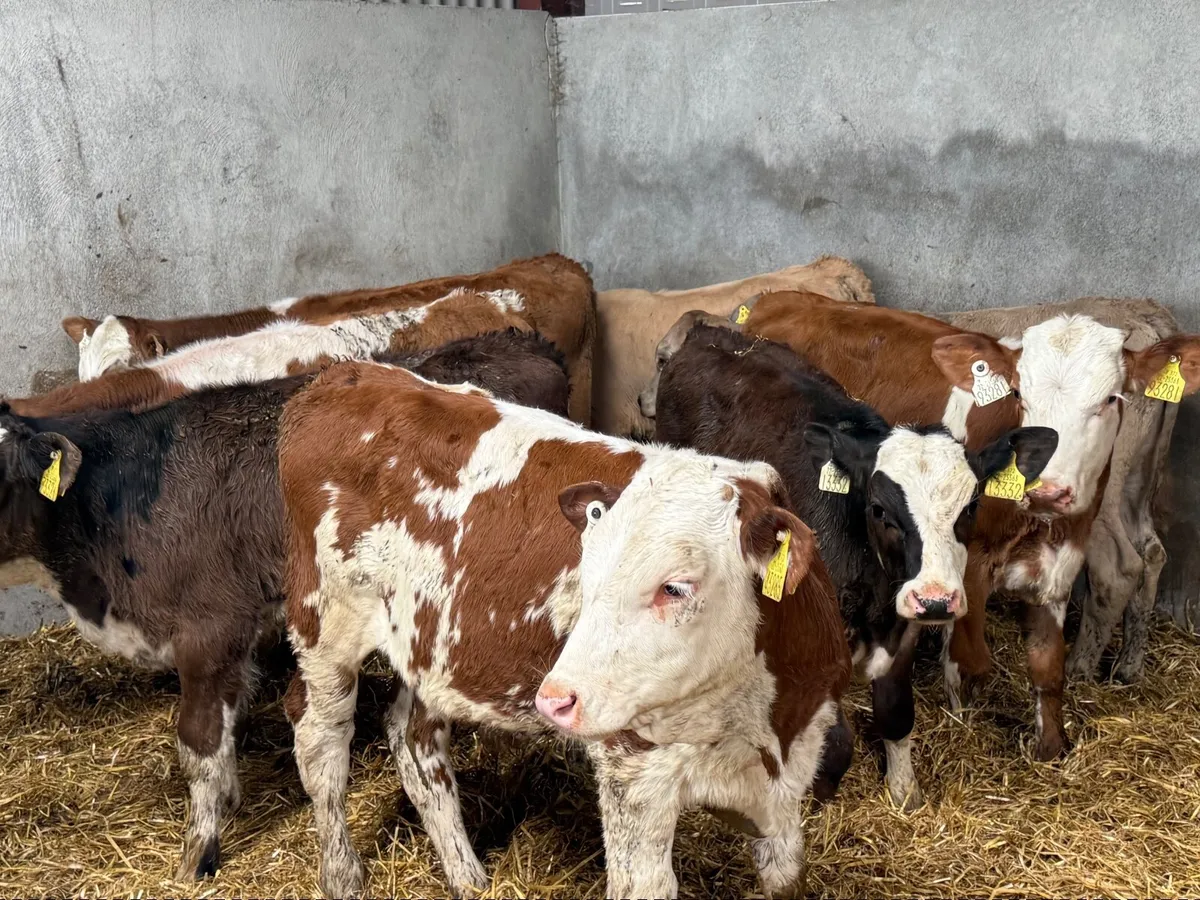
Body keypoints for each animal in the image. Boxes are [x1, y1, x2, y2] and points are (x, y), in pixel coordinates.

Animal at [0, 329, 569, 882]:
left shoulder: (210, 629)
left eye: (1, 479)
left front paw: (198, 853)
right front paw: (229, 801)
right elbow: (228, 730)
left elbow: (198, 741)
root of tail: (515, 340)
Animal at [279, 360, 852, 899]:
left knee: (415, 740)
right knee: (321, 741)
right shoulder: (632, 773)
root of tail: (347, 375)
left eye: (675, 587)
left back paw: (467, 876)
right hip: (326, 626)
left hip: (431, 642)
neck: (757, 722)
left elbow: (785, 873)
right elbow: (643, 885)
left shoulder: (791, 772)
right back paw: (342, 875)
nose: (555, 698)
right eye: (588, 572)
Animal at [651, 322, 1057, 808]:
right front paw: (816, 800)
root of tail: (706, 332)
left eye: (971, 506)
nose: (937, 600)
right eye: (880, 510)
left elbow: (896, 713)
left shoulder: (903, 629)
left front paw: (903, 790)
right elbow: (835, 744)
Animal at [945, 298, 1179, 684]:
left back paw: (1079, 667)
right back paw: (1129, 665)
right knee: (1152, 553)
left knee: (1119, 569)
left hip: (1101, 495)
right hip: (1139, 481)